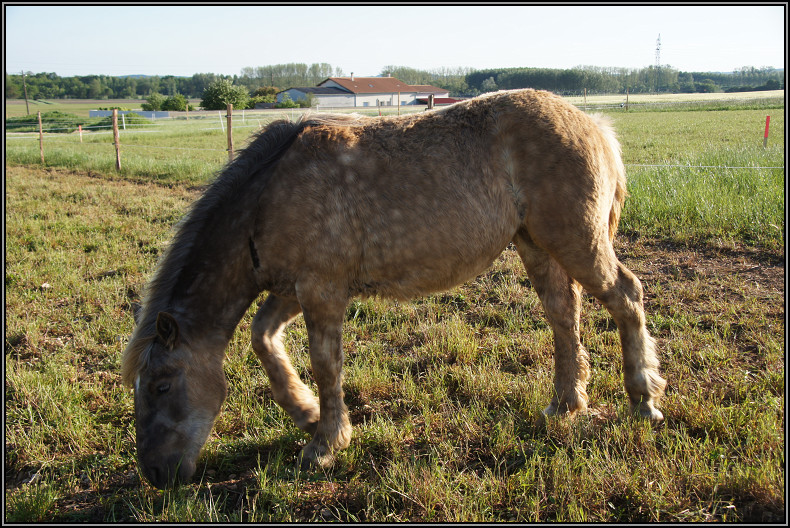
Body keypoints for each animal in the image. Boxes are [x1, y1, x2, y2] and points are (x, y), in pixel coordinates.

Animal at [122, 88, 668, 488]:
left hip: (577, 242)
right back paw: (566, 404)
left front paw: (325, 442)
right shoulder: (295, 290)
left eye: (162, 385)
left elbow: (325, 363)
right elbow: (263, 338)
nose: (156, 475)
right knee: (563, 313)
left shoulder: (321, 291)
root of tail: (592, 123)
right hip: (535, 245)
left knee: (626, 297)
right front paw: (305, 412)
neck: (267, 196)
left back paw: (642, 401)